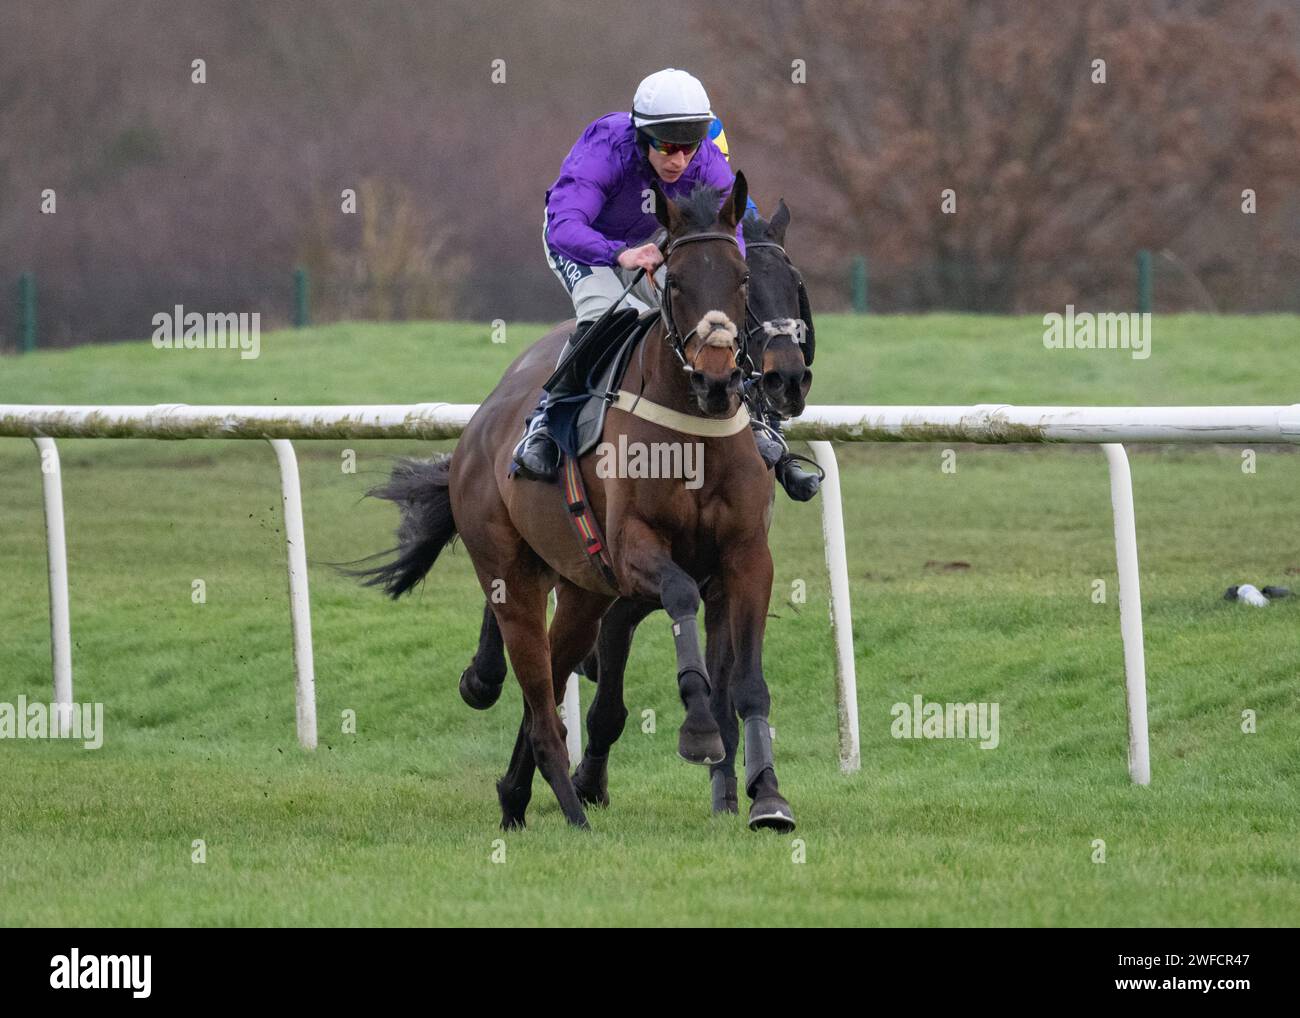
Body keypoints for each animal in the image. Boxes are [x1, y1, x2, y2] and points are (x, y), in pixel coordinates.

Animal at [358, 172, 800, 826]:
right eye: (677, 281)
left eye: (746, 280)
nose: (726, 380)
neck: (694, 433)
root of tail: (476, 433)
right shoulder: (633, 550)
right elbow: (678, 596)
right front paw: (696, 729)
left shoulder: (745, 557)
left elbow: (746, 682)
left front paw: (766, 796)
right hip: (514, 574)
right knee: (537, 689)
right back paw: (563, 802)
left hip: (581, 590)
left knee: (548, 676)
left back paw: (516, 795)